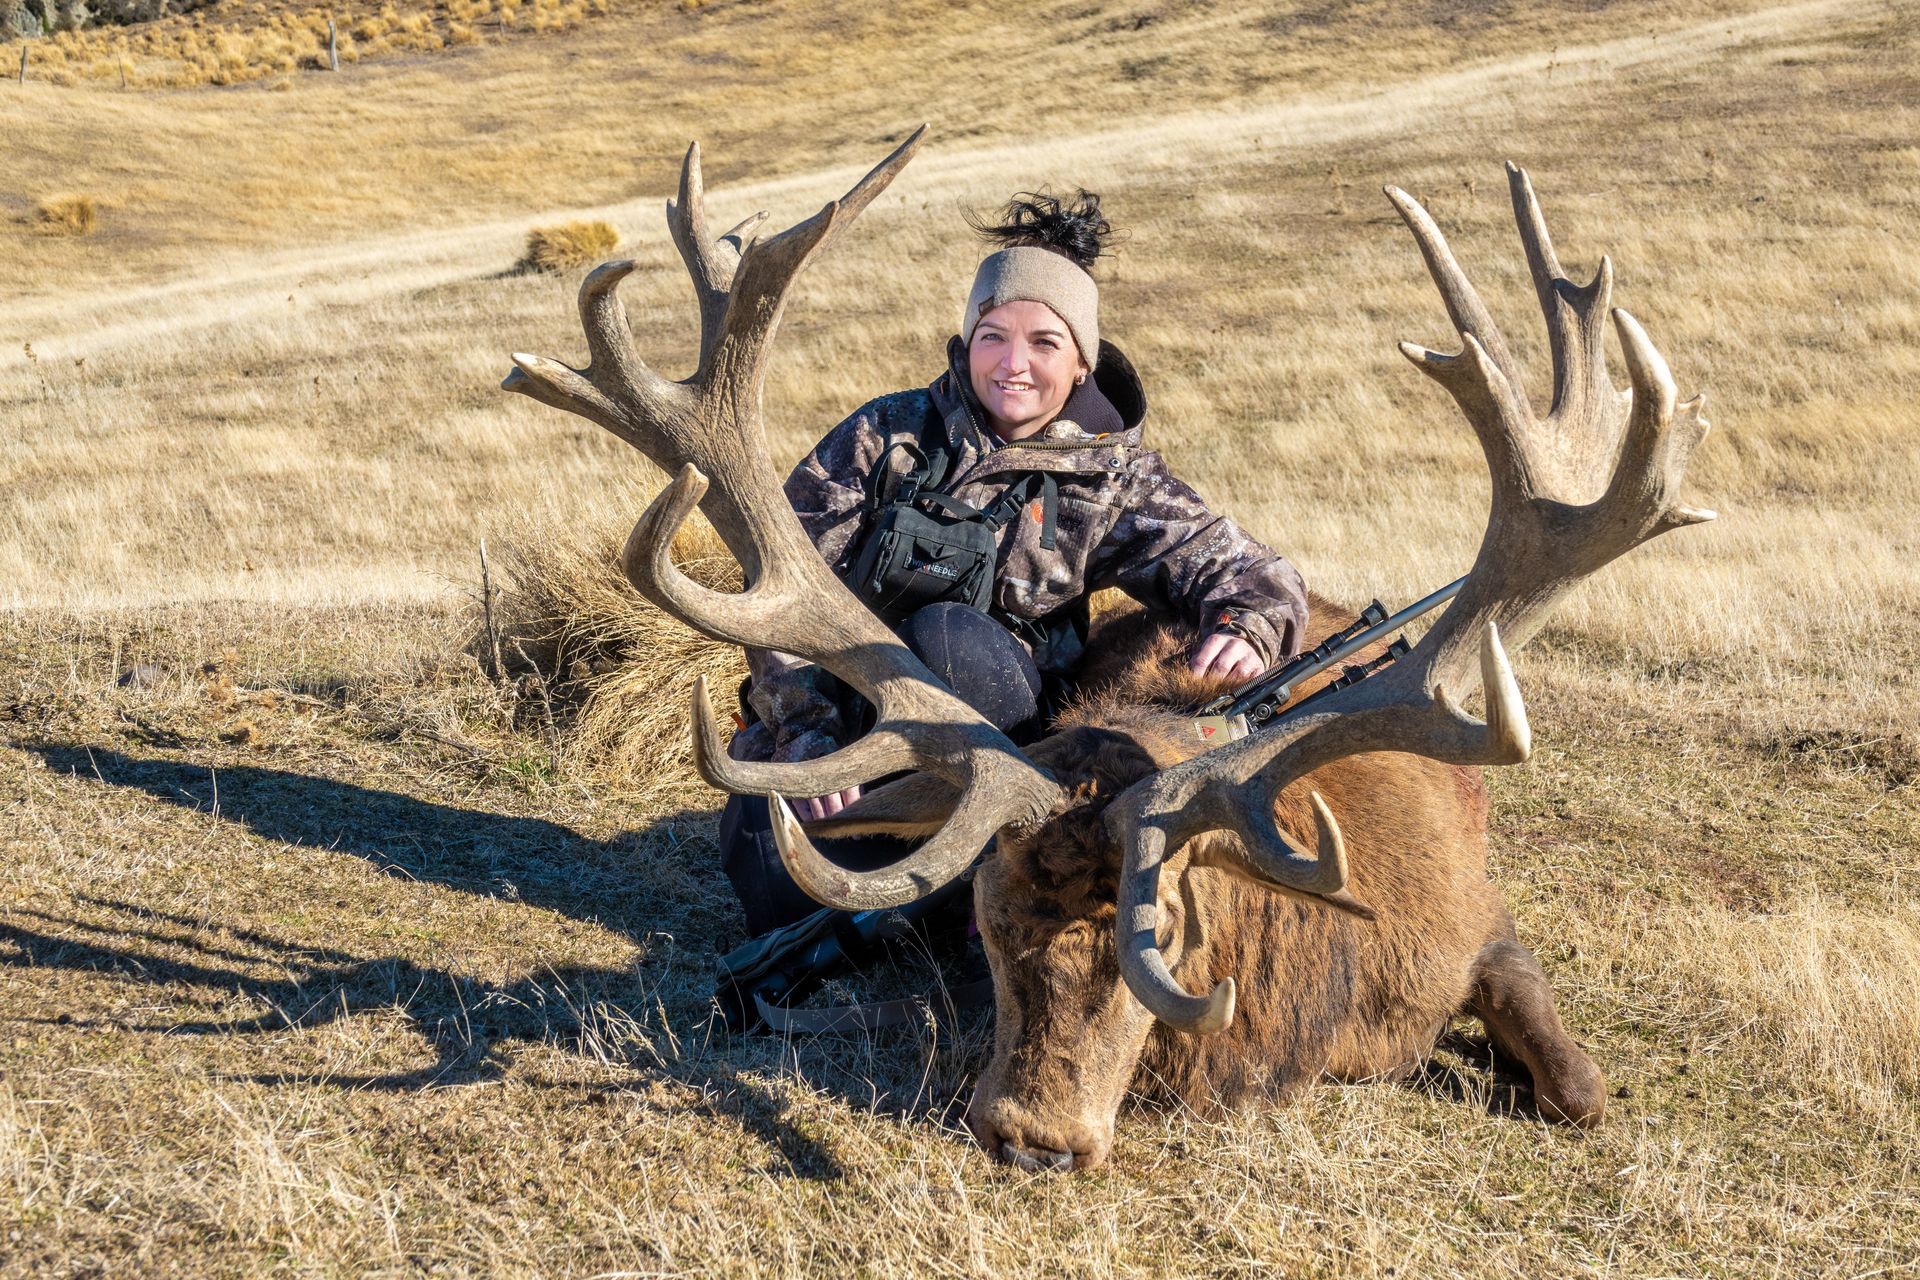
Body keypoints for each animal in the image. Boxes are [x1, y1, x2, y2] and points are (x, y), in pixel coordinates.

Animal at [503, 127, 1713, 1172]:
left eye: (1165, 932)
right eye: (986, 922)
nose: (1032, 1134)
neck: (1316, 998)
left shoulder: (1479, 923)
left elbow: (1580, 1087)